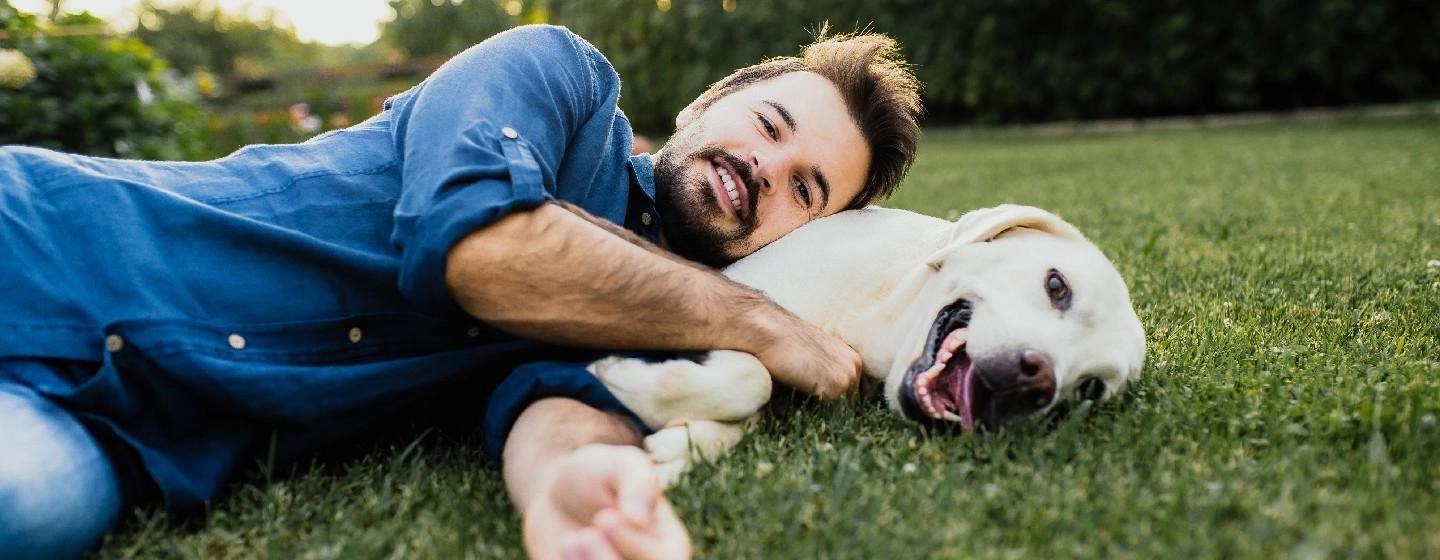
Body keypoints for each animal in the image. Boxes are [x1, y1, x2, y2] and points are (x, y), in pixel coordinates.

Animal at [587, 204, 1146, 483]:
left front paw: (679, 446)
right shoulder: (733, 297)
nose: (1039, 380)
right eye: (1057, 286)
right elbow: (752, 376)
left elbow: (750, 399)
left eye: (1090, 389)